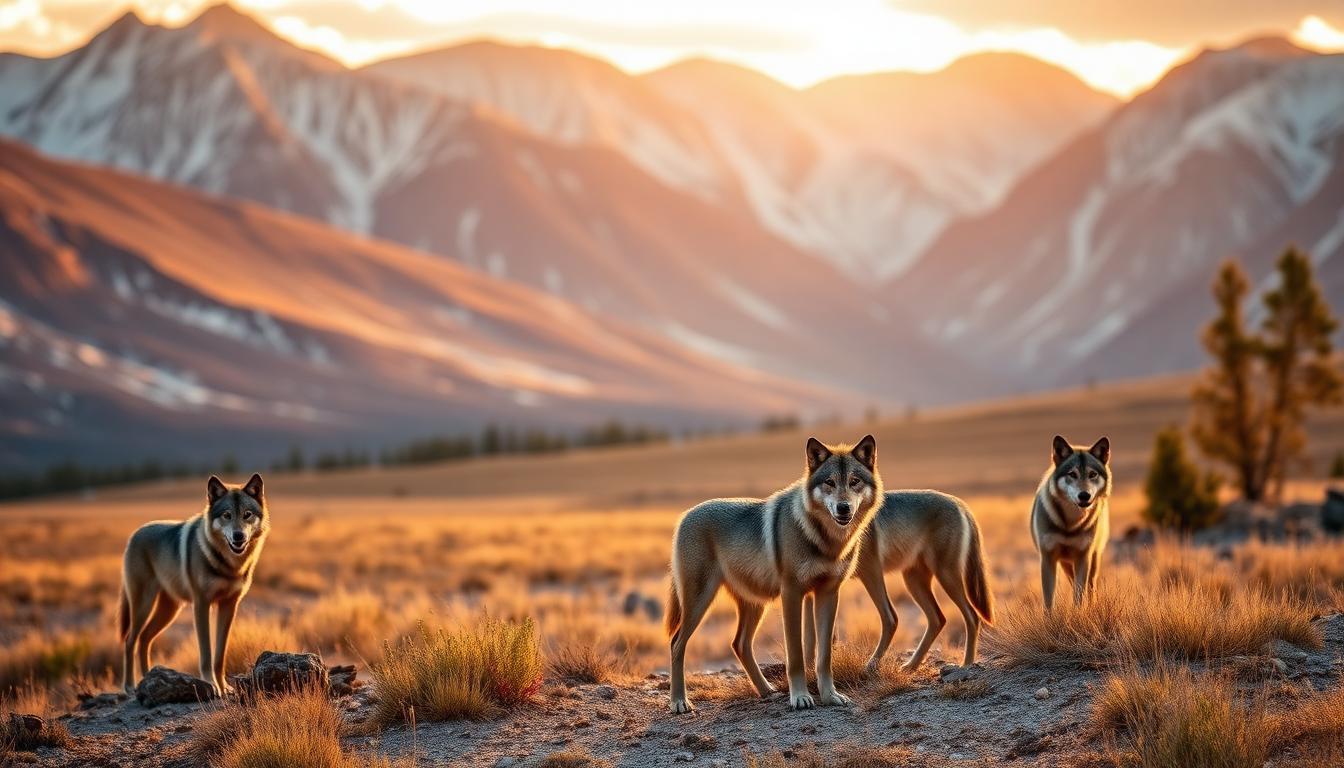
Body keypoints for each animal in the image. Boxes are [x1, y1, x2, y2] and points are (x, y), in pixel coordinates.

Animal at [118, 474, 270, 696]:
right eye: (227, 515)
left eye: (247, 514)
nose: (238, 536)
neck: (228, 565)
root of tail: (135, 533)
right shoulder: (201, 604)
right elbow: (206, 653)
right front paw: (212, 685)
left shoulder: (229, 606)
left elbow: (219, 656)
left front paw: (224, 687)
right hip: (143, 606)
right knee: (130, 640)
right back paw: (130, 686)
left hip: (169, 610)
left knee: (145, 639)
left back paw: (147, 679)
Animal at [665, 435, 883, 714]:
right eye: (830, 482)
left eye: (854, 481)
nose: (843, 508)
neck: (825, 540)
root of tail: (685, 515)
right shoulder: (791, 593)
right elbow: (796, 655)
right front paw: (800, 697)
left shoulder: (828, 594)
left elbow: (823, 657)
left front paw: (830, 696)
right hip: (699, 603)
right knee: (676, 643)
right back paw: (679, 702)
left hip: (754, 604)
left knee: (739, 644)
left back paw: (766, 691)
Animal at [804, 490, 994, 674]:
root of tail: (959, 503)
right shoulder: (809, 591)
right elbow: (809, 638)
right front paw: (808, 670)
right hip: (913, 581)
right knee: (937, 619)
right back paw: (911, 665)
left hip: (936, 576)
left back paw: (966, 664)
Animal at [1032, 436, 1111, 610]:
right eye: (1072, 474)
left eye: (1092, 474)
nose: (1084, 495)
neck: (1070, 524)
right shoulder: (1048, 558)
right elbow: (1048, 600)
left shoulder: (1083, 556)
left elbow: (1079, 595)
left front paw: (1078, 613)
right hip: (1065, 564)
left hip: (1093, 559)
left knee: (1090, 586)